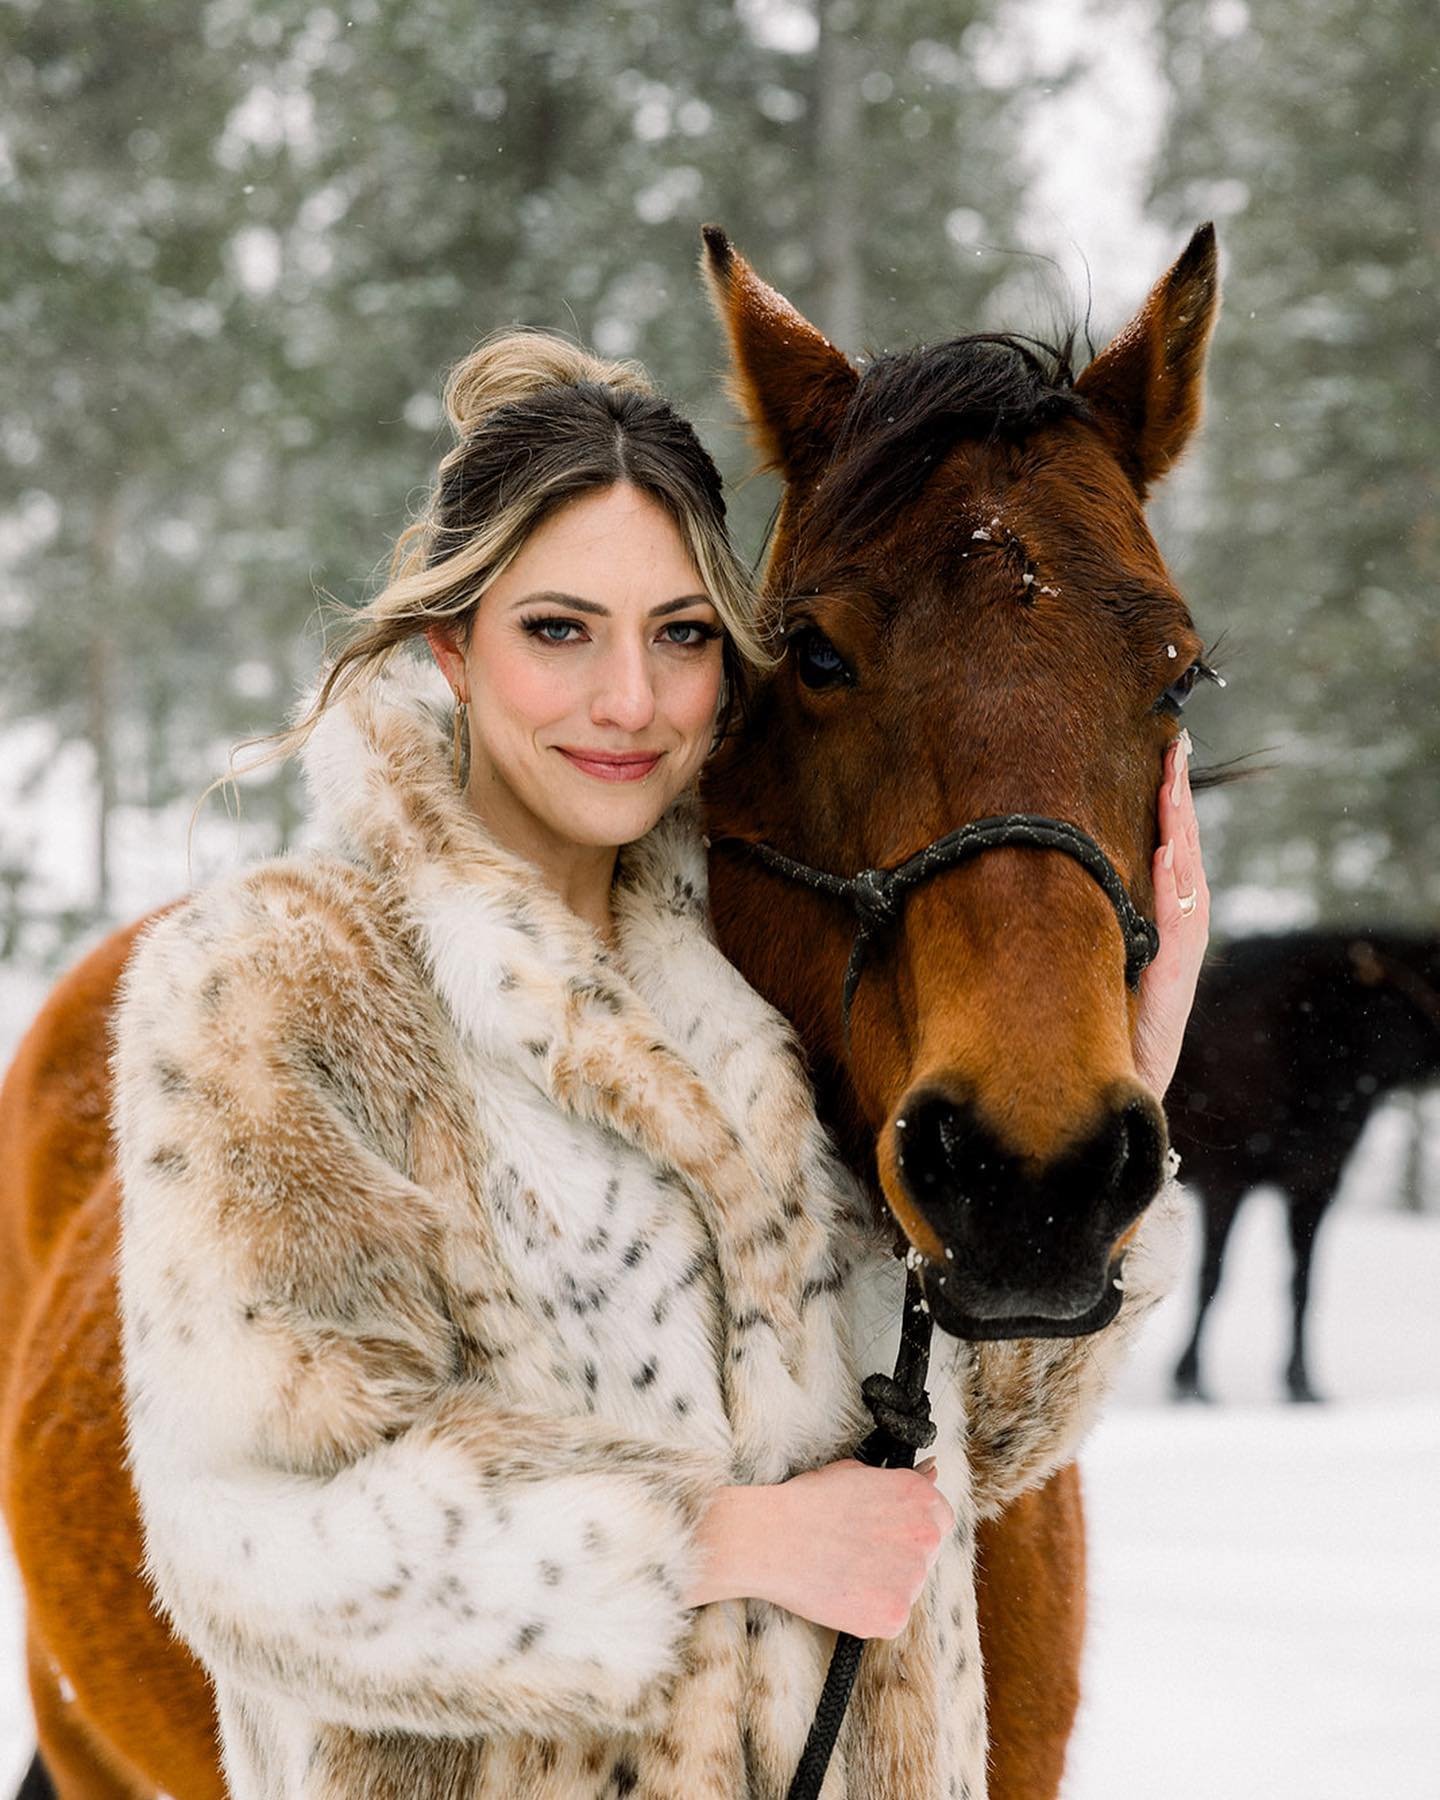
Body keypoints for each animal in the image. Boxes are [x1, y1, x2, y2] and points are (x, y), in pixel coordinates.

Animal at [1166, 928, 1440, 1404]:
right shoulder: (1225, 1180)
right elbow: (1211, 1277)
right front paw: (1190, 1381)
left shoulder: (1314, 1183)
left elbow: (1303, 1283)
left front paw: (1301, 1384)